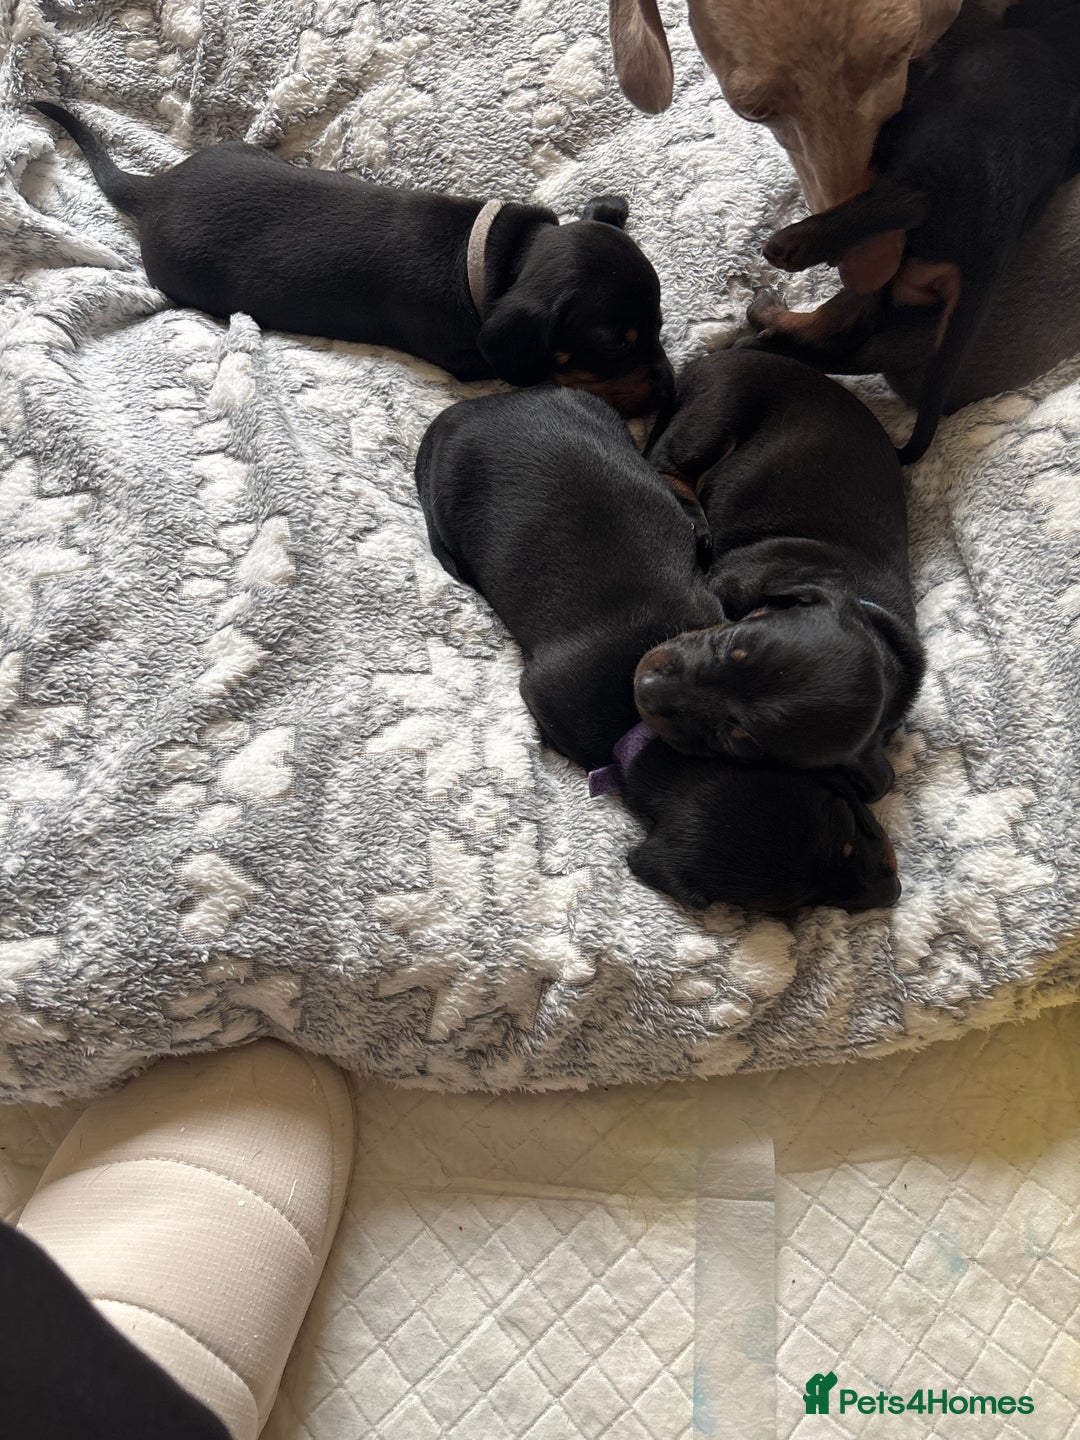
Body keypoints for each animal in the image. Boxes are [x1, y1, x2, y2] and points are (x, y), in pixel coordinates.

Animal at [32, 101, 673, 417]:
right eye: (614, 344)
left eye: (659, 327)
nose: (670, 391)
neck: (497, 257)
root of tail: (157, 190)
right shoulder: (468, 357)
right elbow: (541, 370)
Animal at [638, 350, 925, 802]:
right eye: (732, 643)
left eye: (740, 739)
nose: (644, 686)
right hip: (717, 410)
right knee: (668, 465)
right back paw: (695, 519)